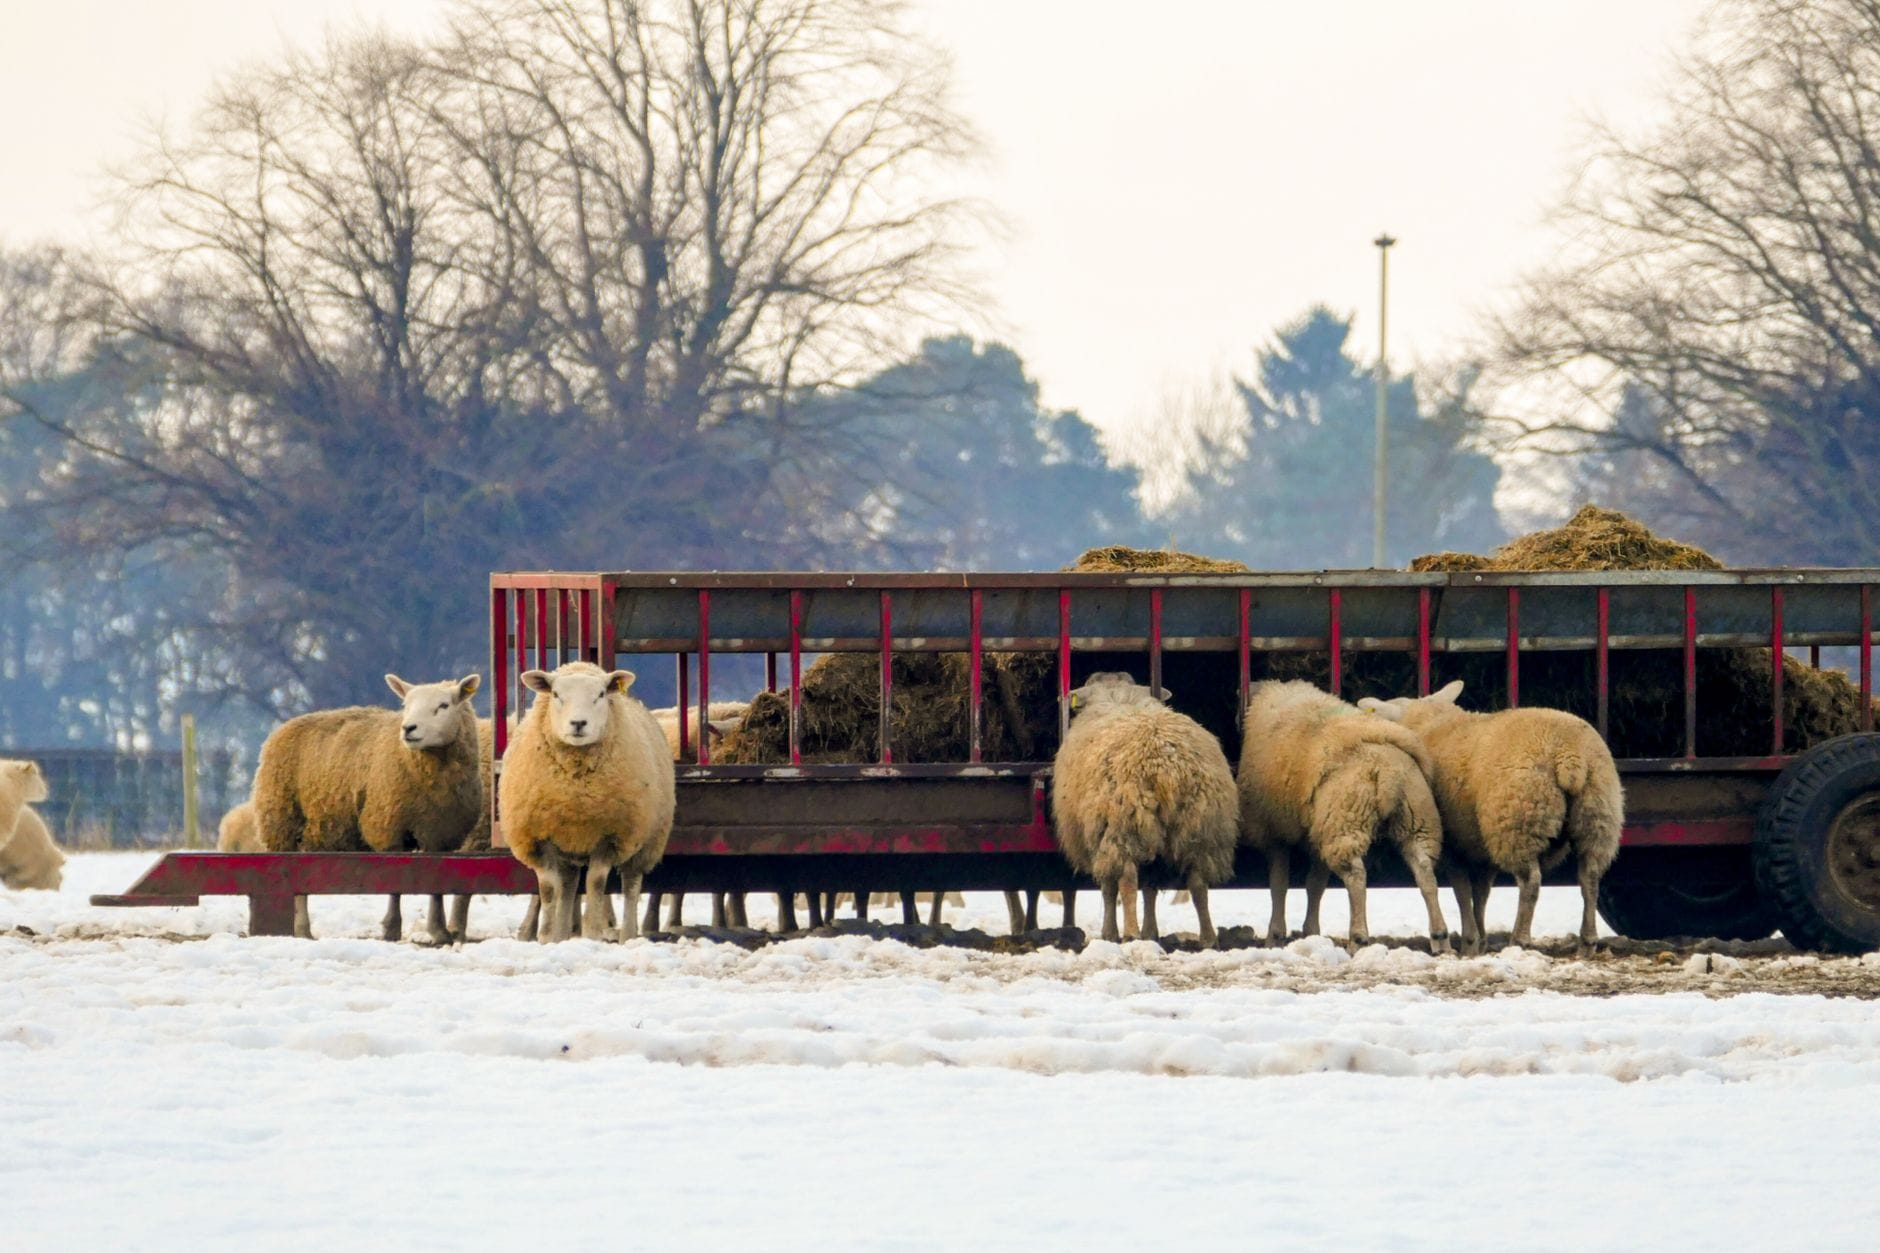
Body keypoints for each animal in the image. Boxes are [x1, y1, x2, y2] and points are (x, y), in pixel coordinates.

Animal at [253, 673, 482, 941]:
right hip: (282, 823)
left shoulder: (440, 835)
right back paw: (301, 930)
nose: (408, 729)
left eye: (444, 705)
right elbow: (395, 885)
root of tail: (285, 726)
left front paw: (439, 931)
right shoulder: (387, 827)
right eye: (405, 705)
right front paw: (392, 928)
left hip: (312, 831)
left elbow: (436, 885)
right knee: (294, 877)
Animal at [499, 661, 675, 943]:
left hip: (645, 840)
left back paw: (628, 936)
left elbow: (595, 883)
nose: (578, 723)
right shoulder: (538, 837)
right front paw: (546, 938)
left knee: (631, 885)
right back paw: (561, 935)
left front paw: (592, 934)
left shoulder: (609, 836)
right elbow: (550, 889)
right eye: (556, 694)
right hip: (568, 847)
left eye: (600, 694)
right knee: (568, 886)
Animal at [1050, 671, 1238, 945]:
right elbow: (1150, 888)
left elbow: (1110, 888)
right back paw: (1207, 937)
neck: (1116, 695)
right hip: (1201, 826)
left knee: (1127, 880)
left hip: (1125, 823)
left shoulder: (1101, 831)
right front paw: (1151, 932)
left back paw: (1130, 932)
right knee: (1198, 883)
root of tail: (1166, 767)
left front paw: (1111, 933)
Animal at [1239, 680, 1451, 953]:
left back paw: (1358, 938)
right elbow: (1315, 885)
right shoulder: (1315, 832)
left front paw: (1275, 936)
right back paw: (1440, 937)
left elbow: (1279, 885)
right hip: (1416, 819)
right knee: (1425, 870)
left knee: (1356, 876)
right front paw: (1310, 931)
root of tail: (1389, 773)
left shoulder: (1275, 831)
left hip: (1345, 821)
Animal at [1358, 680, 1623, 954]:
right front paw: (1481, 939)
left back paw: (1519, 939)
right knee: (1590, 876)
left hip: (1518, 822)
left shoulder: (1455, 845)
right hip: (1598, 816)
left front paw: (1470, 942)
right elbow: (1481, 893)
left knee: (1530, 882)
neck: (1431, 721)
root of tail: (1569, 754)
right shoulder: (1478, 848)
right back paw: (1587, 943)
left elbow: (1462, 891)